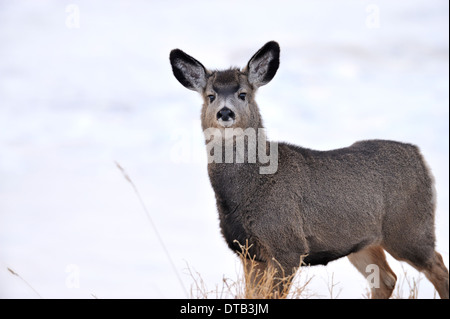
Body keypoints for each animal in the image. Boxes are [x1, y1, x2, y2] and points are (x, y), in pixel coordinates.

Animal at [170, 41, 450, 298]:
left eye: (242, 94)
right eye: (210, 95)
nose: (225, 112)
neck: (250, 188)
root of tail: (420, 157)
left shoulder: (287, 245)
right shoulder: (248, 251)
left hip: (409, 228)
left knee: (437, 267)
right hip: (363, 242)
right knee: (387, 279)